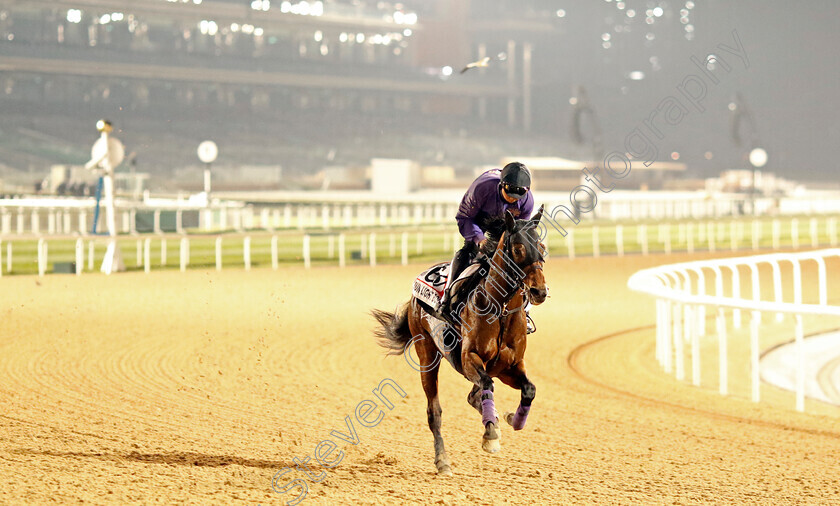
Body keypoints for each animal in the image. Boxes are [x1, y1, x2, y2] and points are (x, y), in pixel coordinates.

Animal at [372, 206, 544, 474]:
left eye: (542, 247)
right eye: (517, 249)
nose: (539, 291)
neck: (500, 309)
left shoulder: (509, 366)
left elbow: (529, 389)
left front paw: (509, 420)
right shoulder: (468, 359)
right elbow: (486, 385)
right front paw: (490, 436)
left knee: (474, 396)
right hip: (427, 355)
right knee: (435, 412)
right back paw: (443, 461)